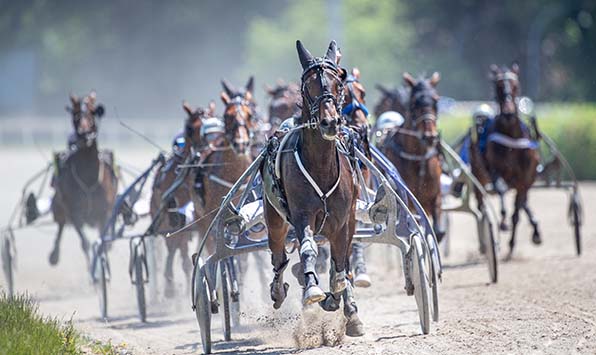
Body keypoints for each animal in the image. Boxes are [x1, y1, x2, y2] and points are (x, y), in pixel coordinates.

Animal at [50, 93, 118, 266]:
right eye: (75, 116)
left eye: (92, 114)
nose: (84, 134)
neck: (89, 177)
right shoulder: (75, 212)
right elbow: (85, 243)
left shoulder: (104, 212)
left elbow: (102, 242)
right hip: (59, 206)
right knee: (60, 224)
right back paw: (54, 255)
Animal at [260, 40, 364, 338]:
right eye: (308, 86)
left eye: (338, 83)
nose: (330, 122)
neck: (320, 165)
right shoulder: (302, 215)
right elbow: (307, 250)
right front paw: (313, 289)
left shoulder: (342, 221)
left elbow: (341, 267)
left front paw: (341, 302)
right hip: (275, 220)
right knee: (279, 257)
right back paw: (279, 289)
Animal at [380, 73, 444, 243]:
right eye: (414, 103)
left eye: (436, 101)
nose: (430, 136)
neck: (418, 158)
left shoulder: (435, 196)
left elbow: (438, 231)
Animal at [472, 64, 544, 258]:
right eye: (498, 86)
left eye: (515, 85)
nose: (509, 112)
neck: (511, 135)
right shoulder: (495, 170)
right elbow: (501, 189)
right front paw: (503, 220)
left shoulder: (524, 179)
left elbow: (517, 212)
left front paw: (512, 244)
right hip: (478, 175)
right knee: (481, 204)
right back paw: (484, 244)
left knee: (523, 203)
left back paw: (534, 230)